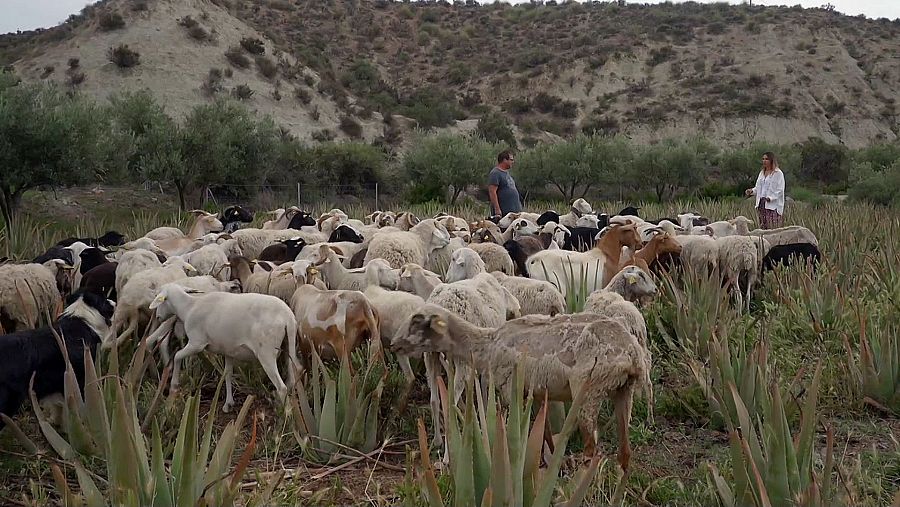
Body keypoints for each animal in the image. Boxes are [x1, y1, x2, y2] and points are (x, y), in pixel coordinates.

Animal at [394, 302, 648, 472]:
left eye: (417, 321)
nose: (395, 344)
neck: (485, 345)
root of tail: (633, 353)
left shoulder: (508, 390)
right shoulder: (535, 391)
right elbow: (544, 431)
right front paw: (549, 463)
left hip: (588, 390)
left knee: (590, 449)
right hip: (623, 390)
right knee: (625, 452)